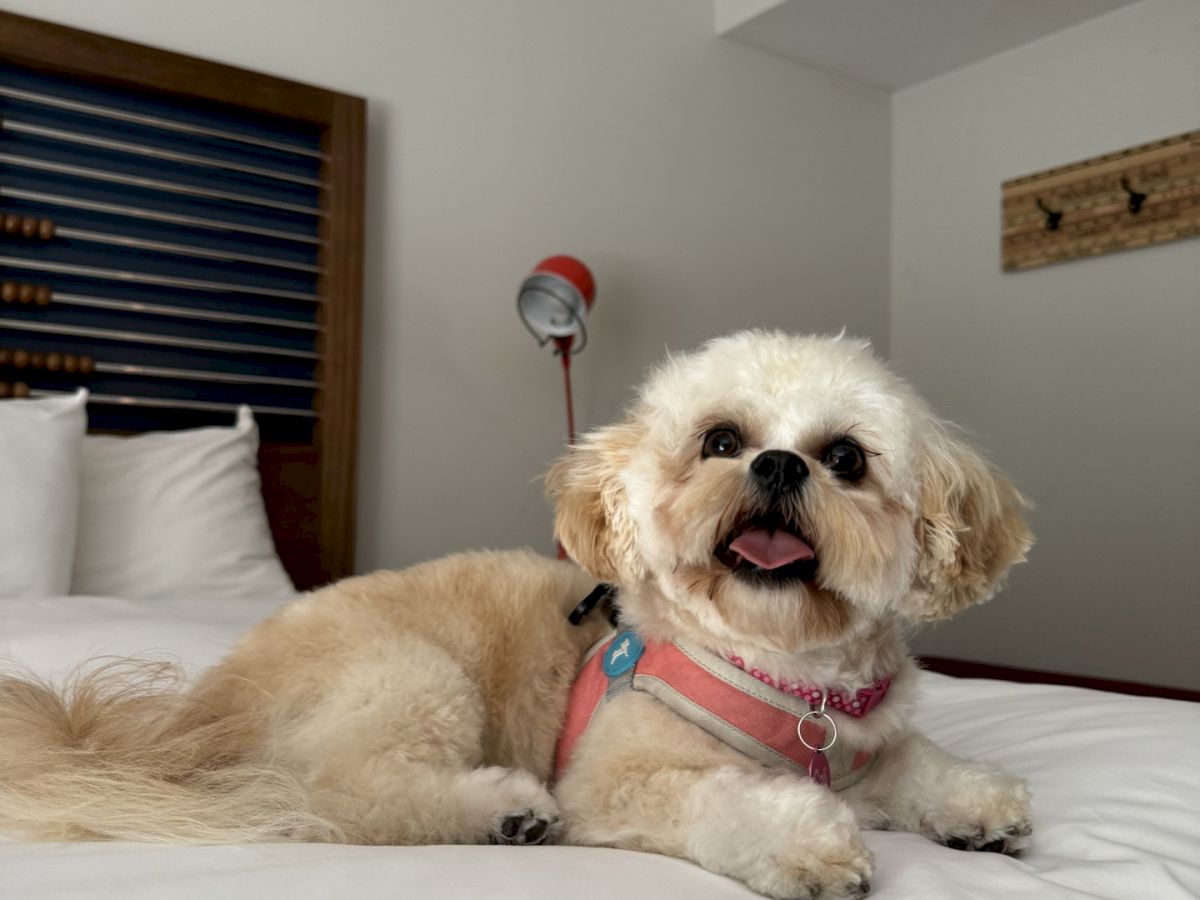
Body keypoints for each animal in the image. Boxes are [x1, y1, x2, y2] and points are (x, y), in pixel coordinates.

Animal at [0, 333, 1032, 900]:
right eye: (721, 442)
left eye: (846, 458)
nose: (778, 464)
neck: (779, 666)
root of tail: (193, 718)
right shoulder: (615, 780)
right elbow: (727, 797)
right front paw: (808, 844)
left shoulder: (865, 743)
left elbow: (921, 765)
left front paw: (979, 806)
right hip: (412, 675)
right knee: (338, 800)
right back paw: (501, 811)